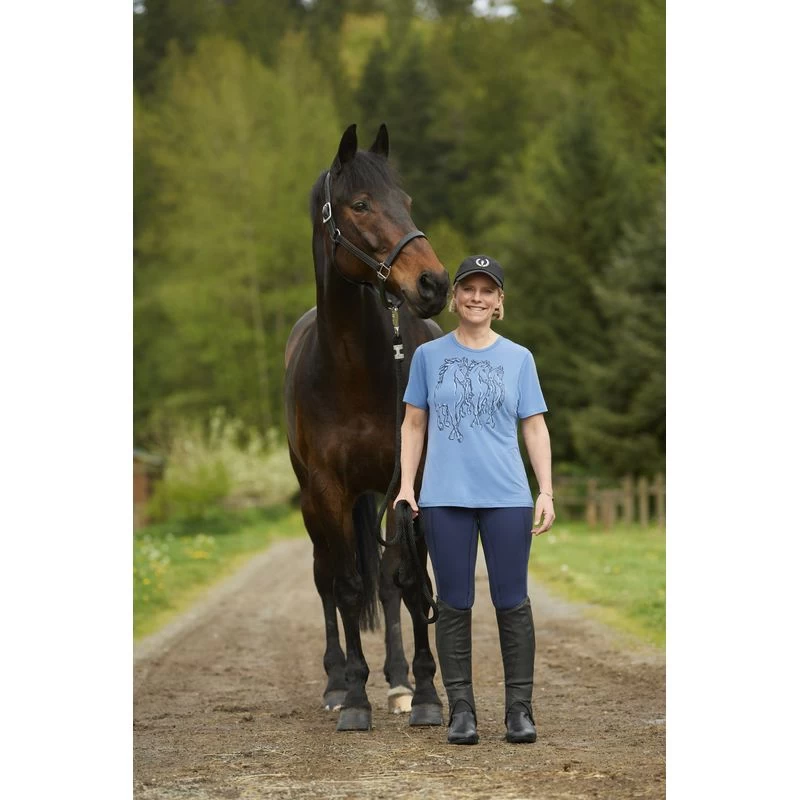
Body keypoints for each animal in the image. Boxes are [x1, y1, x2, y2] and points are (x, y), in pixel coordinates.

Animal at [284, 123, 451, 731]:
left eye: (406, 201)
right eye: (360, 204)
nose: (433, 282)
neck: (351, 369)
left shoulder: (408, 481)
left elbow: (406, 580)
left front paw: (423, 693)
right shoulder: (328, 490)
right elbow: (349, 587)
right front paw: (354, 698)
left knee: (389, 577)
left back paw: (398, 680)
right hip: (315, 505)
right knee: (327, 578)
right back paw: (337, 682)